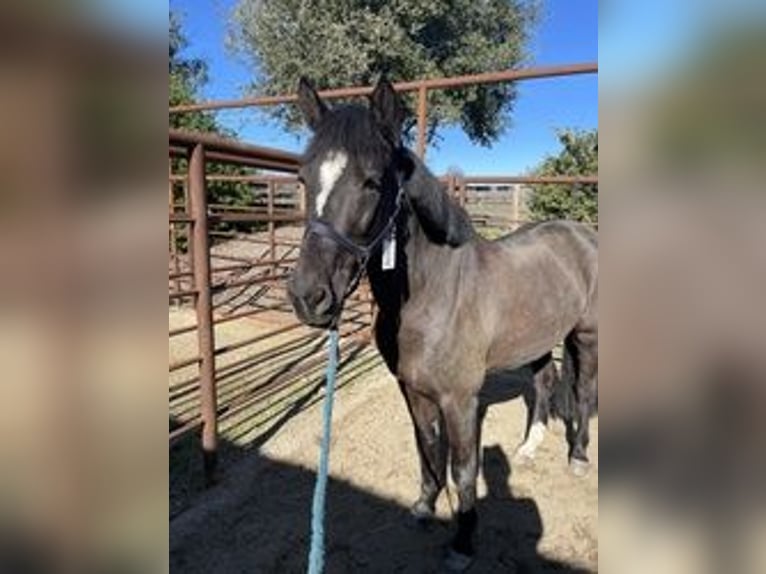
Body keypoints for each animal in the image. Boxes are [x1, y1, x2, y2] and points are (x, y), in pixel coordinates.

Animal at [287, 77, 598, 569]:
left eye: (373, 181)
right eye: (304, 179)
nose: (307, 297)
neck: (434, 295)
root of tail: (583, 233)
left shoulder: (461, 400)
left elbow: (464, 469)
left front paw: (463, 543)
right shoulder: (413, 390)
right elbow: (427, 448)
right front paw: (424, 507)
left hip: (586, 335)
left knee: (583, 391)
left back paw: (580, 456)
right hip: (536, 338)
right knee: (545, 382)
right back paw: (530, 448)